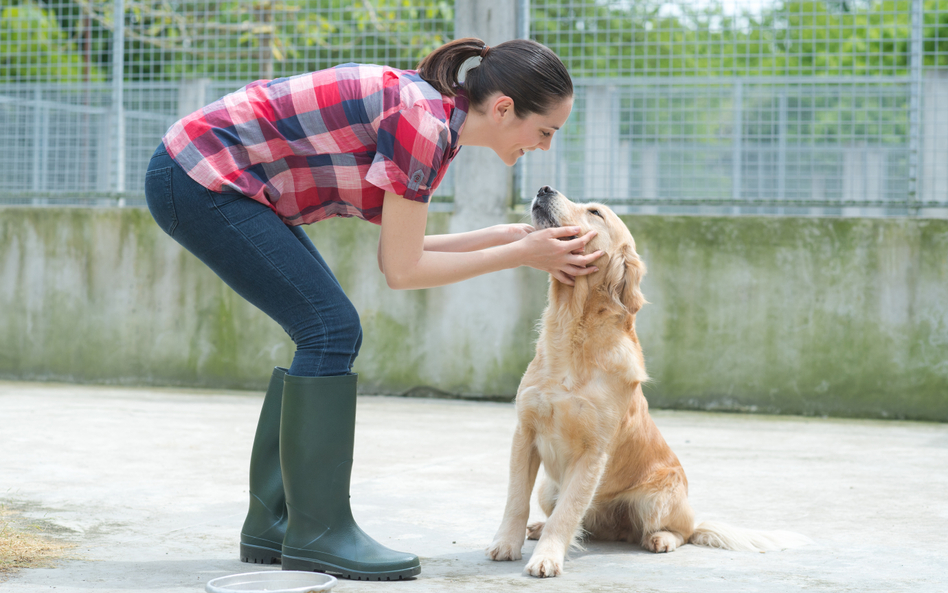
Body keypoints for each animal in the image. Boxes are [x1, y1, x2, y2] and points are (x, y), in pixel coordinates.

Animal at [488, 187, 808, 576]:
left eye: (595, 212)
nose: (544, 189)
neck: (573, 333)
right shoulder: (526, 433)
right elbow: (516, 499)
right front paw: (507, 543)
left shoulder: (592, 452)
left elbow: (567, 514)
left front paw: (547, 558)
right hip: (549, 487)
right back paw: (539, 527)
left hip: (658, 497)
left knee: (680, 532)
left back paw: (661, 539)